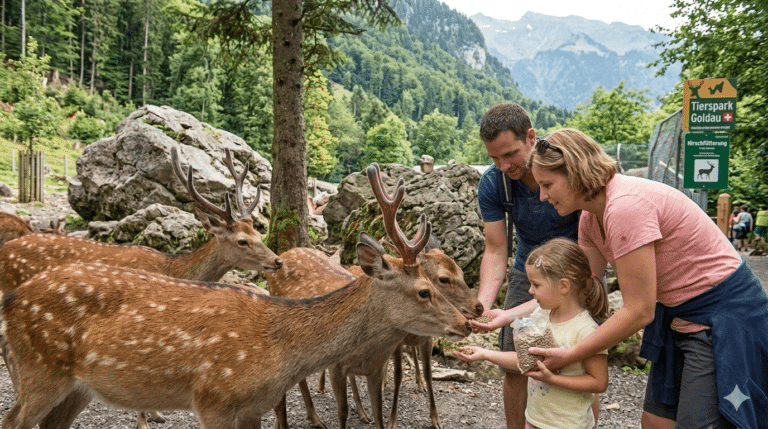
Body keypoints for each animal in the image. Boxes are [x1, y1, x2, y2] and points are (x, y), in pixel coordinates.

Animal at [0, 146, 283, 429]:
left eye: (259, 234)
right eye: (242, 241)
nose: (277, 261)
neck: (172, 269)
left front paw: (156, 413)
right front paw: (145, 419)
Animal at [0, 199, 471, 429]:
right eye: (426, 290)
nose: (467, 322)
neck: (280, 350)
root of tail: (14, 299)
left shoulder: (252, 409)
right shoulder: (214, 401)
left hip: (76, 387)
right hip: (42, 370)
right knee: (12, 419)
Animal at [268, 163, 483, 429]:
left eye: (462, 273)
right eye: (427, 289)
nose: (470, 320)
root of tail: (284, 254)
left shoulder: (378, 366)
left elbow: (381, 410)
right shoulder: (337, 367)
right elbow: (343, 412)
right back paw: (313, 417)